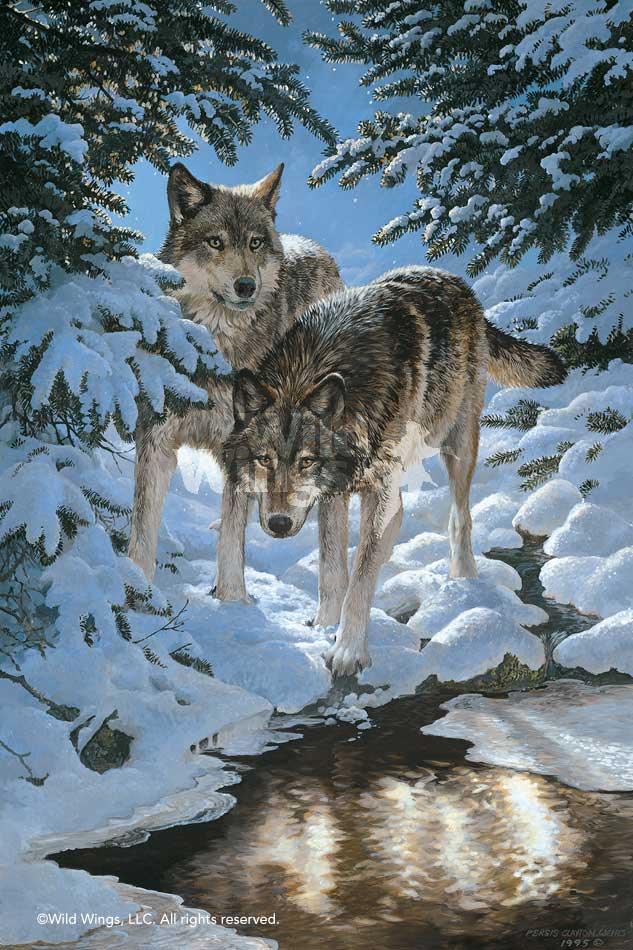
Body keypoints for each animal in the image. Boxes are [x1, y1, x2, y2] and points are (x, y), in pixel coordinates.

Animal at [128, 162, 342, 595]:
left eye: (255, 243)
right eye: (216, 242)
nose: (246, 286)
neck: (212, 352)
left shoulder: (240, 446)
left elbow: (232, 539)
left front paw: (231, 599)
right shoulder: (155, 438)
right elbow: (143, 526)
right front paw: (135, 589)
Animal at [223, 266, 566, 676]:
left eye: (306, 461)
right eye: (264, 460)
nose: (278, 524)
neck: (315, 368)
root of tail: (452, 279)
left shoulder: (379, 494)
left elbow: (359, 578)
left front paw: (347, 650)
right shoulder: (334, 493)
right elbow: (331, 569)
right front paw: (323, 626)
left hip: (458, 444)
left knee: (460, 518)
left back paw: (464, 583)